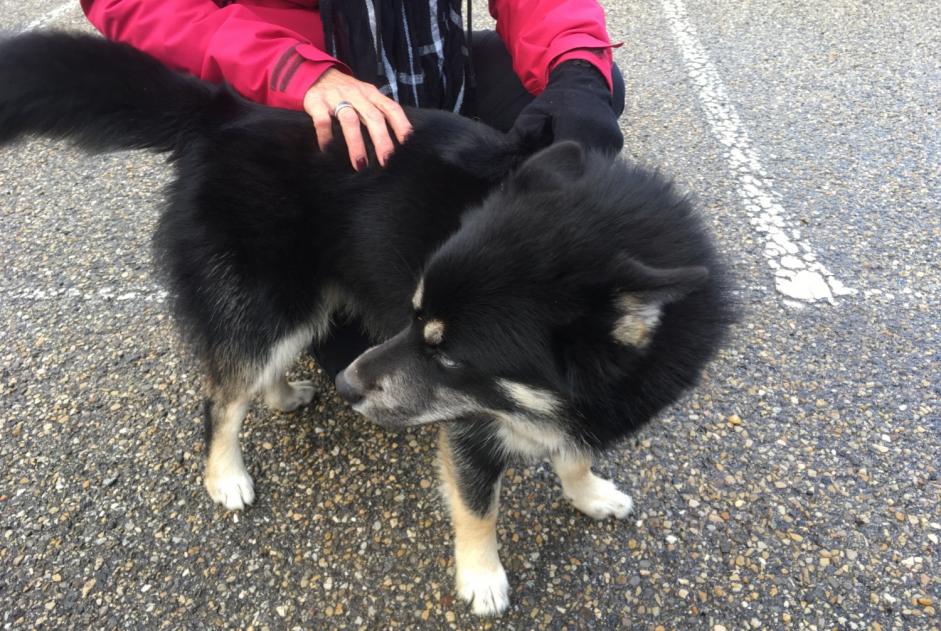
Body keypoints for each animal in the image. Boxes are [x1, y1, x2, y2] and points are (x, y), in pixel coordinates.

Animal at [0, 30, 732, 616]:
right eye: (415, 319)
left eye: (452, 354)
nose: (351, 388)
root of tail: (227, 112)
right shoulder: (469, 425)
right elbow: (478, 506)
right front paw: (481, 577)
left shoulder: (576, 406)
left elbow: (574, 453)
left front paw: (589, 494)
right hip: (271, 302)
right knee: (221, 396)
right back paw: (225, 475)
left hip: (305, 301)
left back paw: (283, 394)